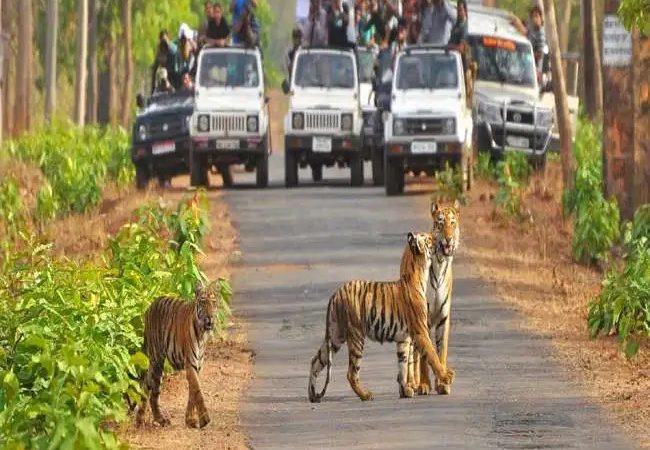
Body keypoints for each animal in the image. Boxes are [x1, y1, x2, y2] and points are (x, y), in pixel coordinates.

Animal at [134, 282, 220, 428]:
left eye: (214, 302)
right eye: (203, 302)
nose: (210, 318)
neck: (202, 333)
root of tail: (150, 305)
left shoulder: (197, 365)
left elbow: (192, 392)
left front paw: (190, 420)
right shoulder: (190, 363)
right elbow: (197, 390)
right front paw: (204, 419)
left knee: (147, 385)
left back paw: (141, 418)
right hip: (156, 359)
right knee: (152, 390)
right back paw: (157, 419)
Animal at [306, 230, 454, 402]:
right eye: (429, 239)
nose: (438, 238)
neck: (420, 271)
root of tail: (335, 294)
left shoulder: (404, 339)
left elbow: (403, 365)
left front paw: (405, 391)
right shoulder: (421, 331)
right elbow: (432, 355)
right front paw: (446, 376)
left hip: (335, 336)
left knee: (315, 361)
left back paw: (312, 395)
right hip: (356, 336)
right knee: (351, 373)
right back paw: (365, 395)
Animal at [410, 200, 460, 394]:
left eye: (452, 223)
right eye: (440, 223)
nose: (449, 238)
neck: (440, 261)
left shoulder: (443, 318)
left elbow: (441, 352)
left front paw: (442, 384)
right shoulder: (424, 318)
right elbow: (426, 354)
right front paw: (424, 384)